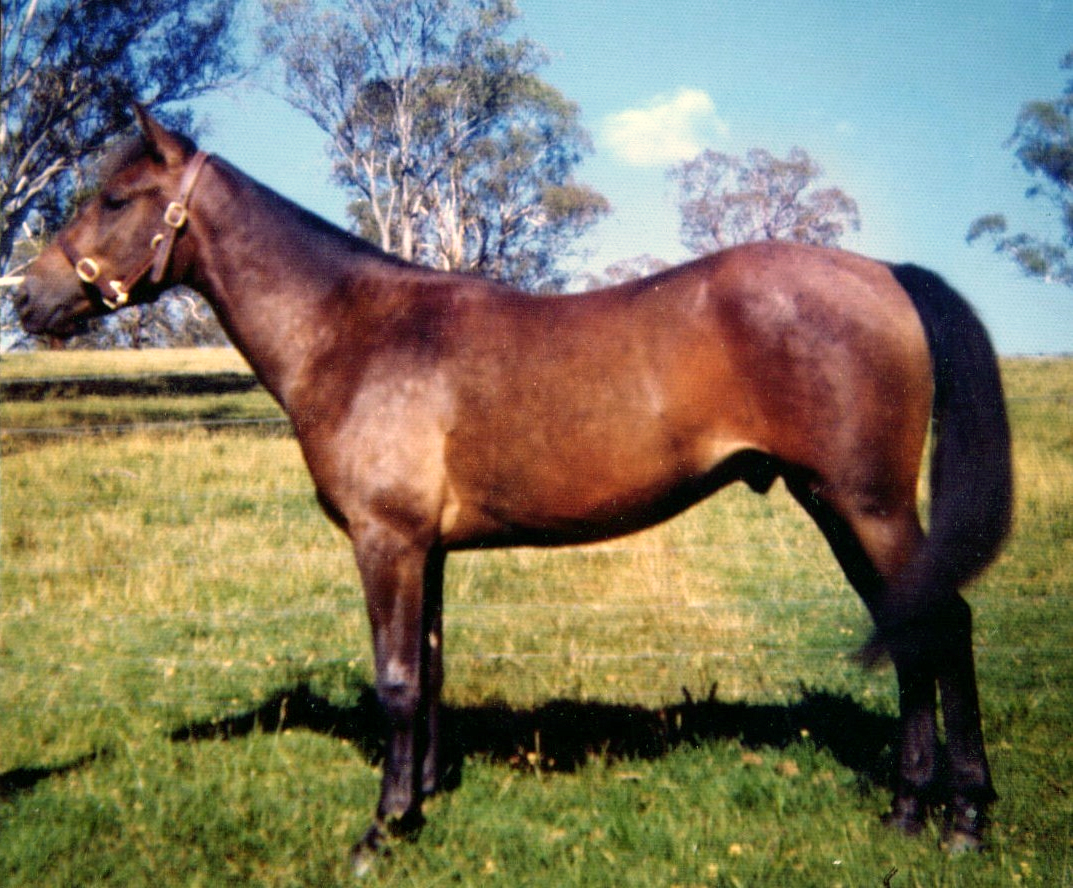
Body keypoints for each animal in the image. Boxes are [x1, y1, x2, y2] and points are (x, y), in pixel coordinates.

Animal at [15, 107, 1012, 867]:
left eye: (114, 198)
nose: (26, 298)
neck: (353, 331)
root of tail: (886, 275)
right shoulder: (427, 551)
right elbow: (430, 671)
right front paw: (420, 801)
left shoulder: (386, 541)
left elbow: (397, 681)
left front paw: (381, 831)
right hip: (833, 503)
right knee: (910, 631)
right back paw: (906, 811)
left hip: (865, 505)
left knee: (945, 625)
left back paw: (963, 820)